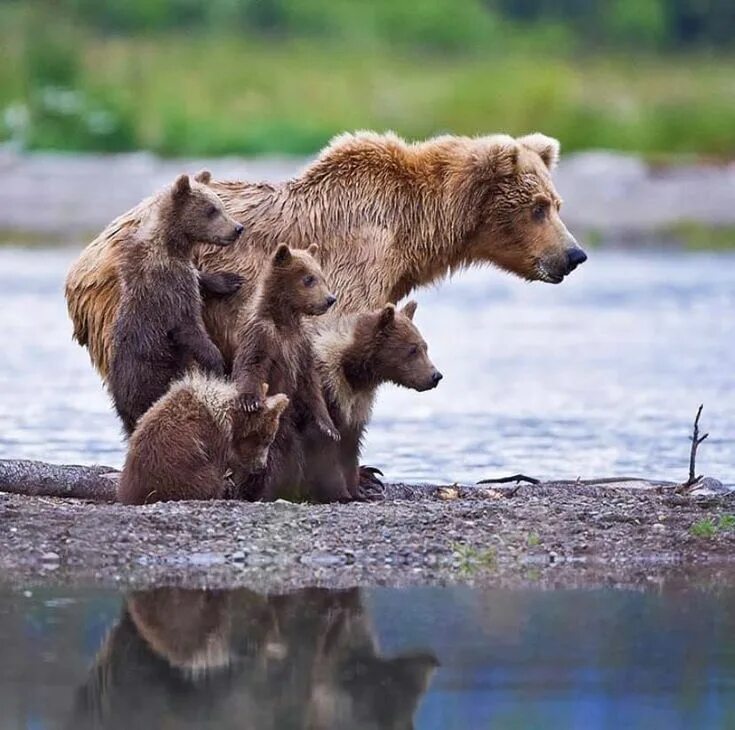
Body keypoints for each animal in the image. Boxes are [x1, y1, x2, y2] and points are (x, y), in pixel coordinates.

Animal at [67, 131, 588, 378]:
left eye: (556, 203)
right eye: (537, 208)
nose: (574, 254)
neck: (414, 225)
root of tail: (82, 259)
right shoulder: (358, 259)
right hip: (144, 301)